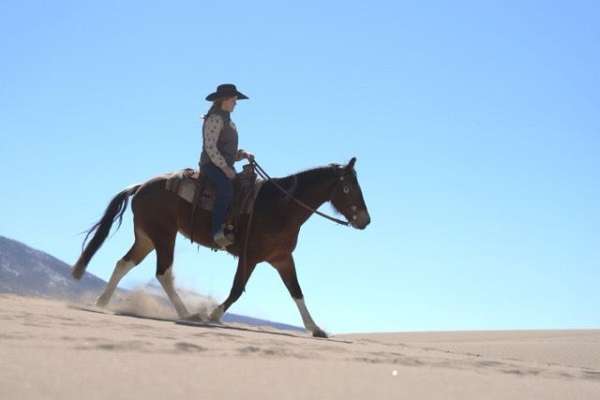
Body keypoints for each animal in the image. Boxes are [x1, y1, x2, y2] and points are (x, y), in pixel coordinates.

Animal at [71, 158, 370, 336]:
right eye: (348, 189)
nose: (365, 220)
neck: (281, 206)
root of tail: (141, 186)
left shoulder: (282, 258)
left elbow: (296, 292)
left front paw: (315, 327)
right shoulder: (250, 257)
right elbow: (237, 289)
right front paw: (213, 313)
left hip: (146, 237)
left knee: (124, 263)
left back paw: (102, 301)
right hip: (164, 235)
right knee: (163, 273)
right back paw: (188, 313)